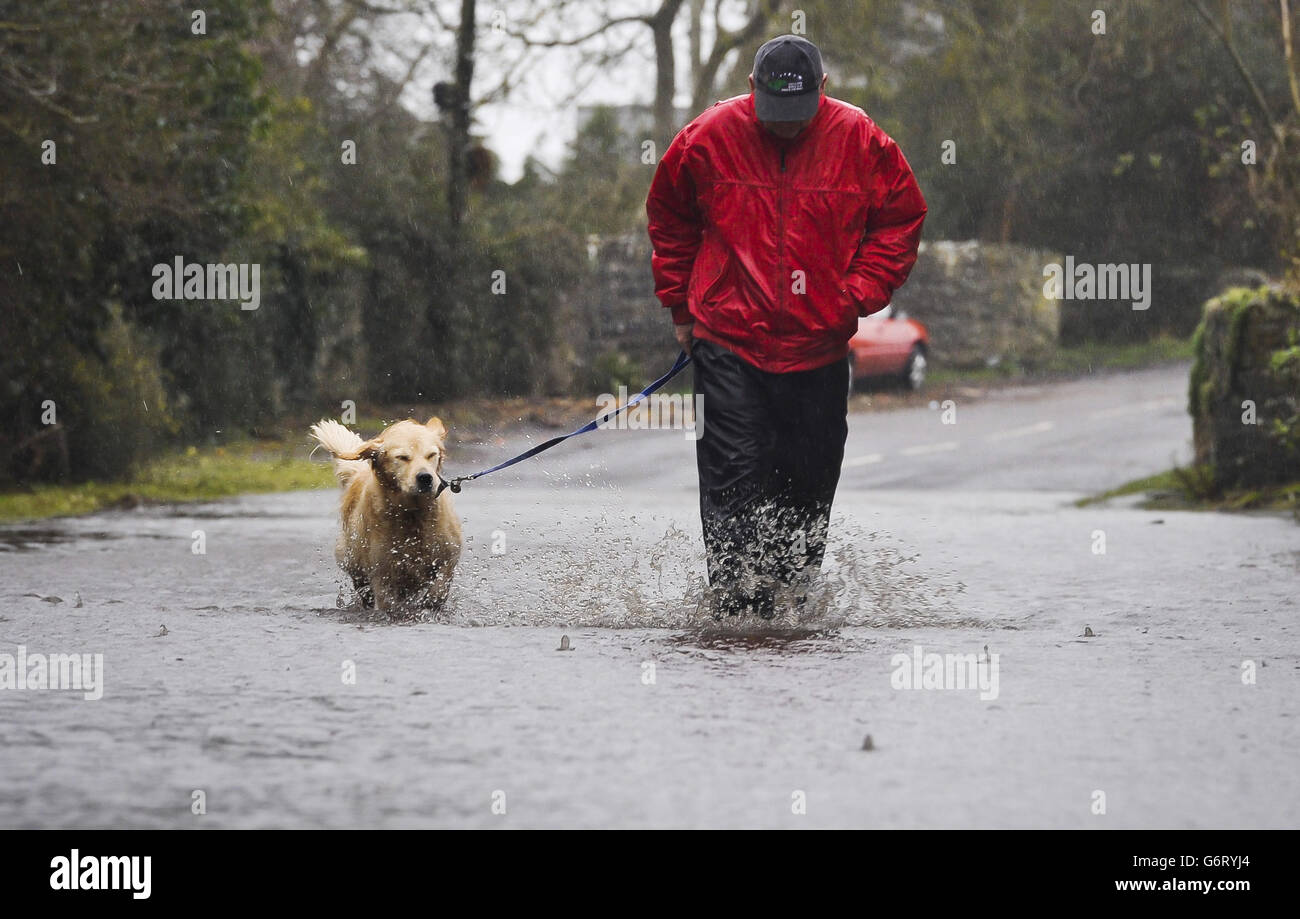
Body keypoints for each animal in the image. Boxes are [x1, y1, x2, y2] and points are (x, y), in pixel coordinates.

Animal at [309, 421, 462, 613]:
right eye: (402, 457)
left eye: (431, 455)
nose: (425, 478)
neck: (412, 514)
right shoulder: (382, 574)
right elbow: (388, 604)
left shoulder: (449, 557)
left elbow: (439, 588)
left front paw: (429, 604)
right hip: (354, 563)